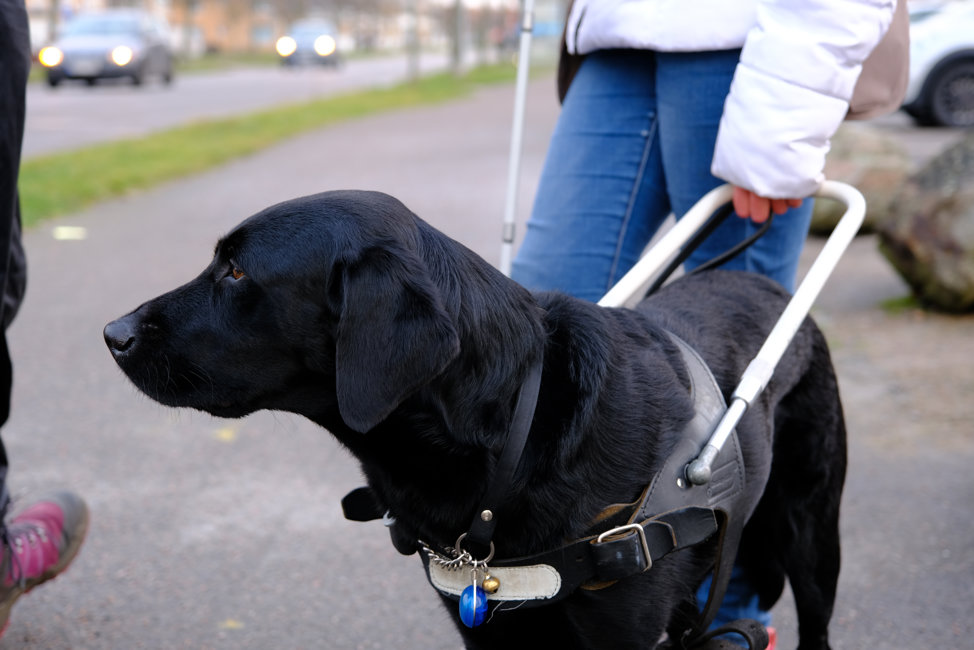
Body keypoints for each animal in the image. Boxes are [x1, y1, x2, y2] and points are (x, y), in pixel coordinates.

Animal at [103, 190, 844, 644]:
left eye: (235, 273)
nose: (112, 333)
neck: (517, 437)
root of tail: (771, 286)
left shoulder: (622, 631)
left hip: (812, 536)